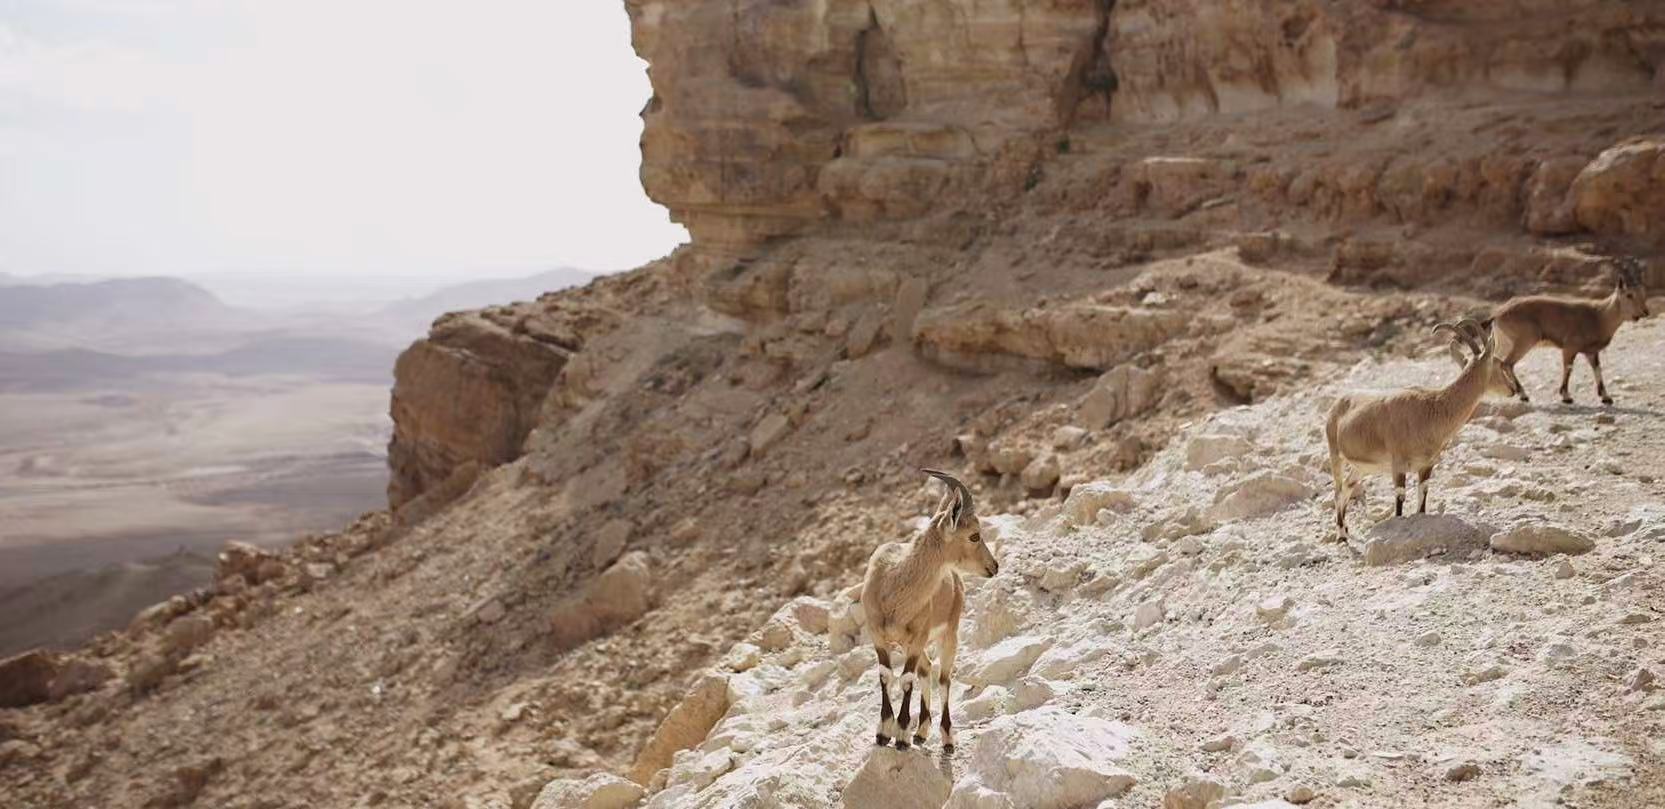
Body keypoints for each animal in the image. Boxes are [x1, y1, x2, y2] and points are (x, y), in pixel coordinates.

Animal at [860, 469, 998, 752]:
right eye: (974, 535)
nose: (994, 566)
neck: (893, 589)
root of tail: (955, 579)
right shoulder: (878, 636)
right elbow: (886, 675)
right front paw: (883, 733)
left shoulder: (916, 638)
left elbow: (906, 679)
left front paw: (901, 735)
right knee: (927, 668)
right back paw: (922, 730)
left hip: (948, 634)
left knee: (943, 678)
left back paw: (946, 737)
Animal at [1326, 319, 1515, 540]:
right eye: (1498, 363)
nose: (1512, 389)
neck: (1432, 410)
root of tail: (1337, 404)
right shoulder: (1398, 464)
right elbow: (1400, 499)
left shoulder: (1427, 465)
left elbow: (1422, 497)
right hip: (1335, 455)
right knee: (1338, 490)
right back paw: (1341, 534)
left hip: (1361, 467)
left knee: (1348, 487)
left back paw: (1346, 528)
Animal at [1487, 258, 1651, 406]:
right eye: (1629, 294)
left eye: (1643, 293)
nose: (1645, 312)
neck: (1600, 316)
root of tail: (1498, 314)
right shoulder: (1570, 347)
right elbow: (1568, 369)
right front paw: (1566, 396)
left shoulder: (1591, 352)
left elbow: (1598, 370)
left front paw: (1606, 397)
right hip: (1525, 340)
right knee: (1507, 364)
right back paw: (1523, 394)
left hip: (1505, 343)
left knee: (1496, 361)